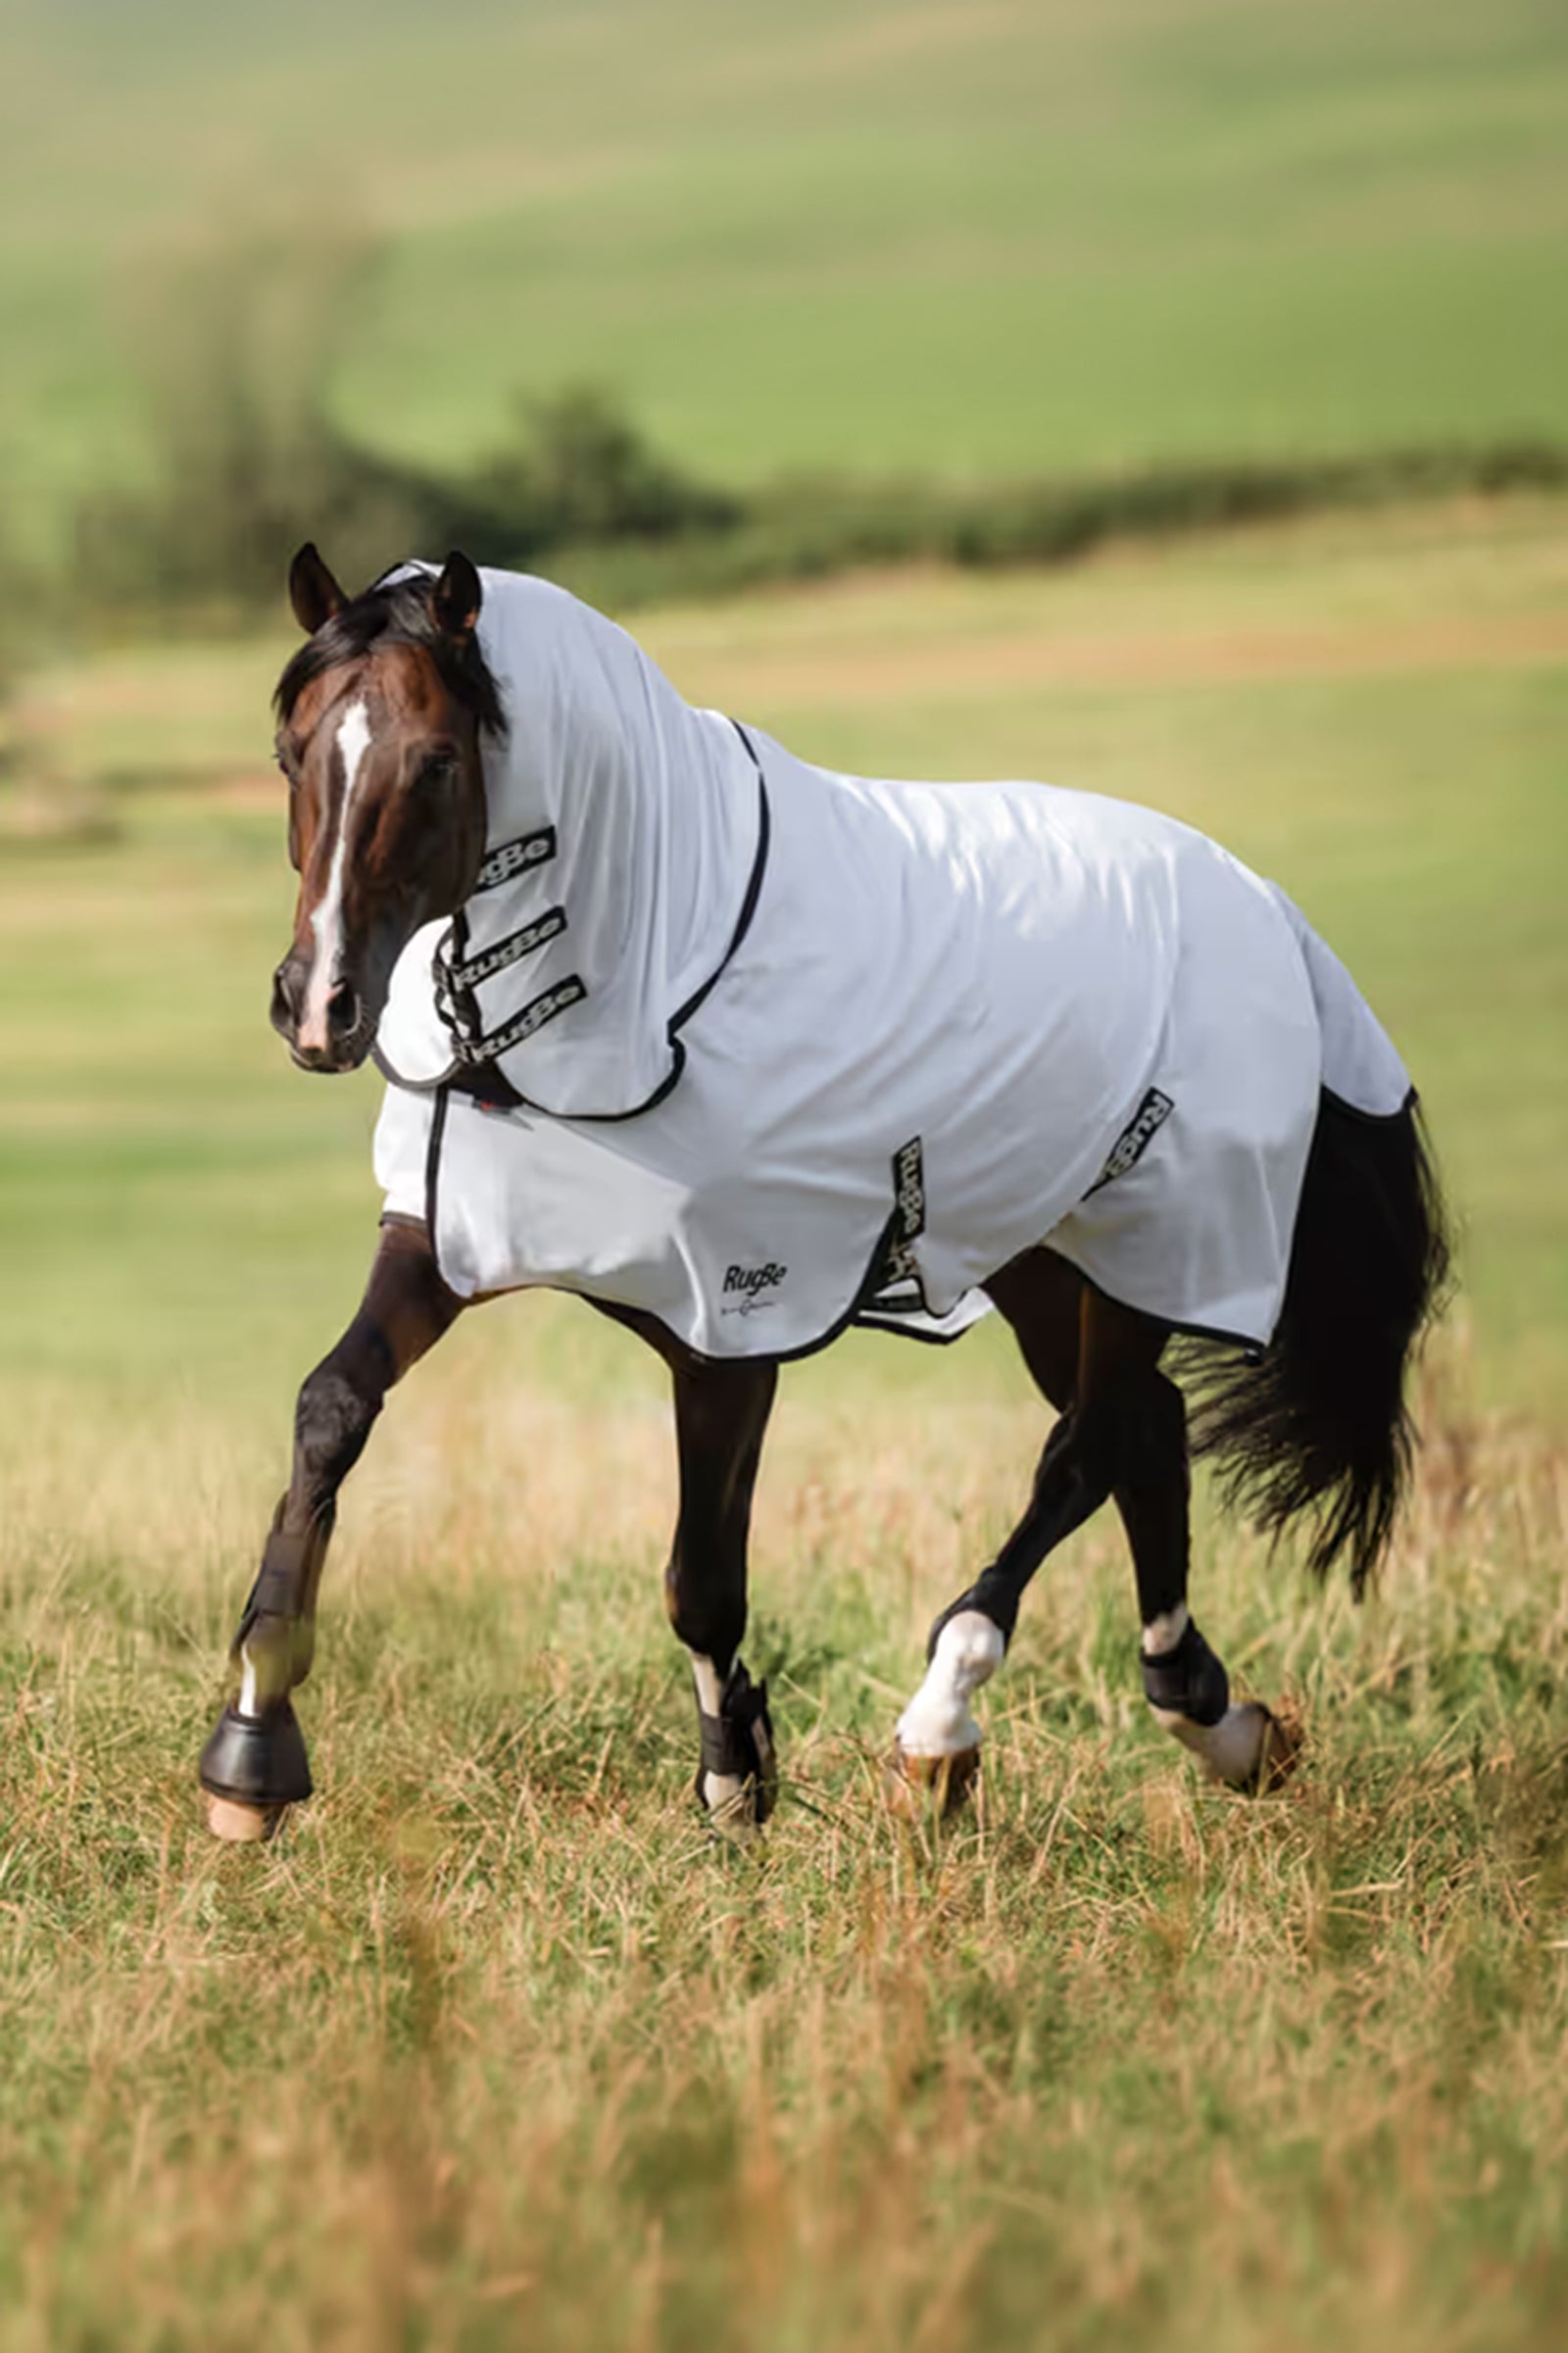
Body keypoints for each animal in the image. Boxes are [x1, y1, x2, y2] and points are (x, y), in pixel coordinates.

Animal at [198, 543, 1450, 1841]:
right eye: (291, 750)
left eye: (438, 761)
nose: (321, 1005)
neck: (652, 971)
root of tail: (1266, 908)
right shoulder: (450, 1236)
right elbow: (331, 1410)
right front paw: (251, 1753)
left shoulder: (733, 1326)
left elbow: (702, 1580)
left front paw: (734, 1777)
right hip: (1051, 1260)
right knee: (1142, 1430)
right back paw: (1218, 1721)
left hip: (1159, 1241)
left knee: (1086, 1445)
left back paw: (942, 1727)